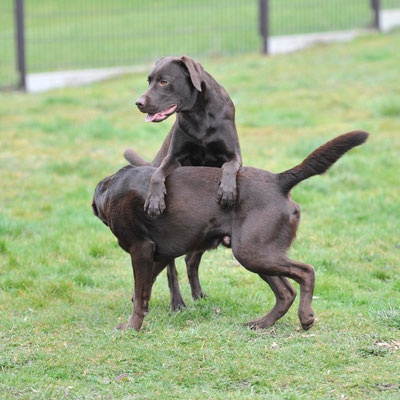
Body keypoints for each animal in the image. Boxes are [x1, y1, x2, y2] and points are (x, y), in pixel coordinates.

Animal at [92, 131, 368, 332]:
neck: (111, 189)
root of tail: (279, 180)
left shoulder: (141, 250)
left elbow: (140, 295)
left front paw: (131, 327)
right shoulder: (159, 254)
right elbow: (147, 288)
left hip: (251, 251)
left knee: (306, 272)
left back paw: (305, 317)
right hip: (257, 253)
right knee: (286, 292)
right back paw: (261, 323)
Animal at [126, 57, 242, 310]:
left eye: (163, 82)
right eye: (149, 81)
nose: (138, 103)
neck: (198, 114)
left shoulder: (234, 155)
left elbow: (230, 167)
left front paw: (227, 191)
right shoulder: (173, 158)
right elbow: (158, 175)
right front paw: (155, 200)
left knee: (191, 260)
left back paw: (198, 294)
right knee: (172, 270)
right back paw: (176, 302)